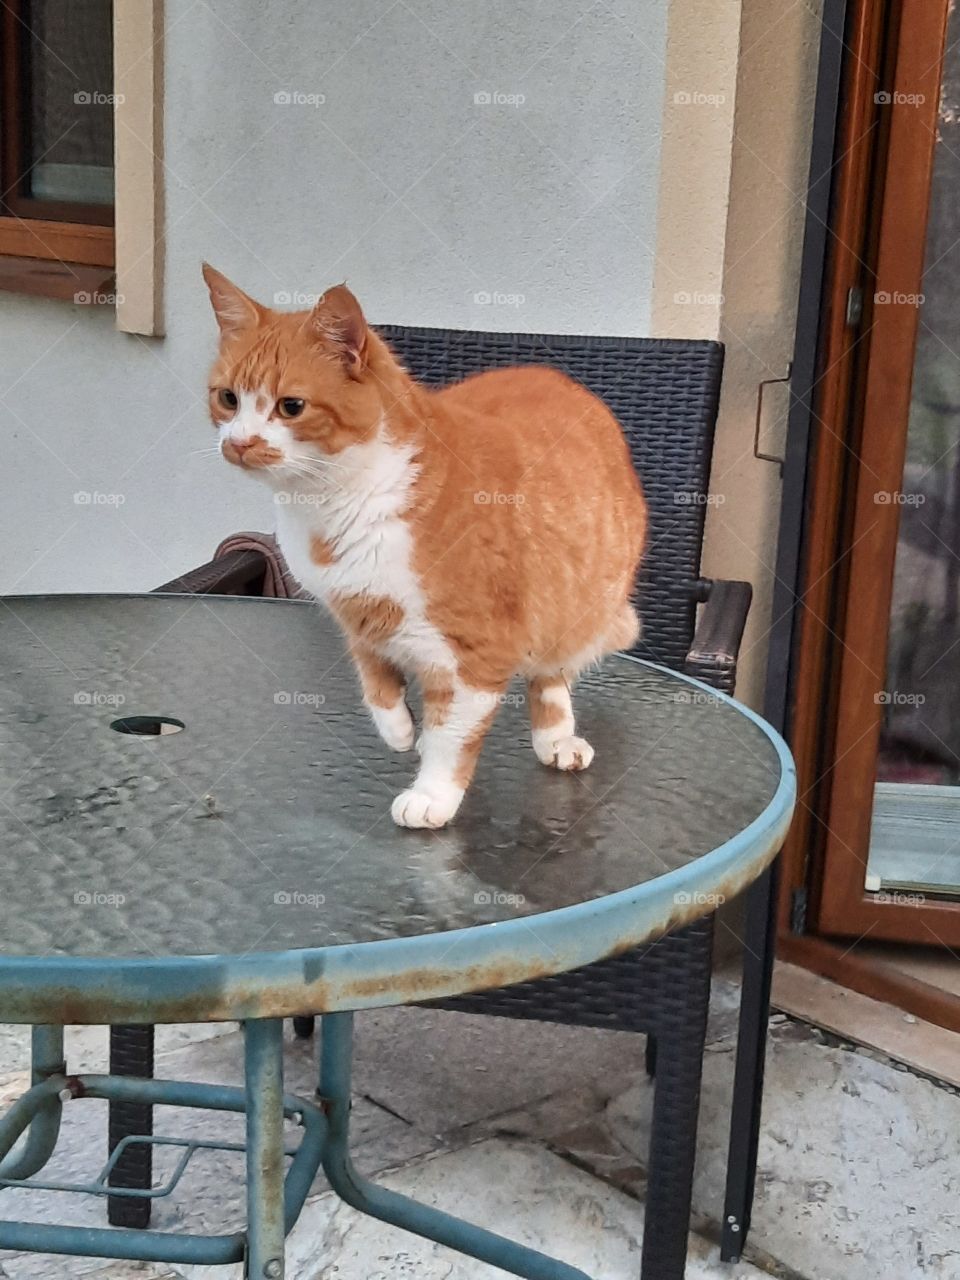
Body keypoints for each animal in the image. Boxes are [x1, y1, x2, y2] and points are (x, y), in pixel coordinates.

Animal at [206, 267, 650, 829]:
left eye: (291, 407)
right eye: (228, 399)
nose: (238, 443)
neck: (332, 505)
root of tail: (565, 381)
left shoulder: (474, 655)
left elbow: (450, 735)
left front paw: (432, 793)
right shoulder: (356, 614)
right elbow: (373, 678)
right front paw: (399, 729)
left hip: (576, 606)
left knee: (551, 675)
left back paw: (556, 738)